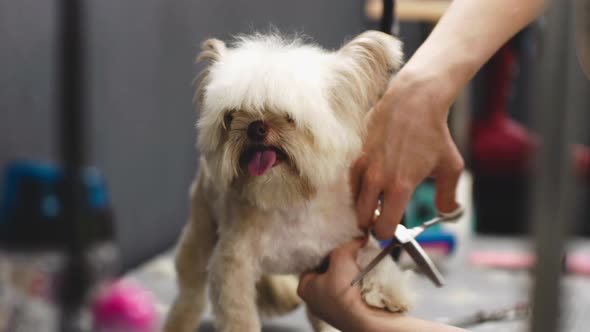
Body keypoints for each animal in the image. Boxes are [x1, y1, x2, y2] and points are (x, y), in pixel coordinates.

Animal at [164, 31, 414, 332]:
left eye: (288, 116)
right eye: (232, 115)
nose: (255, 127)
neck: (289, 202)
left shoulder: (345, 242)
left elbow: (374, 258)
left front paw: (389, 291)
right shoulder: (232, 266)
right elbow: (239, 316)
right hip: (200, 235)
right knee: (189, 296)